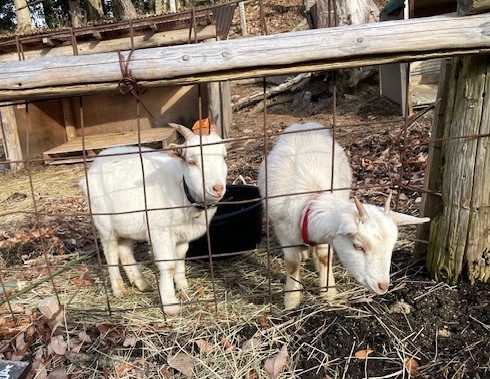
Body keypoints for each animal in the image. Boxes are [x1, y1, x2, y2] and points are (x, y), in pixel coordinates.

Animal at [79, 123, 227, 316]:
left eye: (224, 157)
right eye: (191, 162)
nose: (217, 188)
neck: (181, 189)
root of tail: (91, 169)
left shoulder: (182, 234)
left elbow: (180, 258)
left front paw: (183, 287)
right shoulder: (160, 232)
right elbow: (169, 265)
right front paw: (170, 303)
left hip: (128, 224)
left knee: (124, 250)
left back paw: (141, 283)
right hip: (104, 222)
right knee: (110, 251)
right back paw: (118, 289)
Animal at [258, 123, 430, 310]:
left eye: (392, 246)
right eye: (358, 246)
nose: (383, 286)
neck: (309, 200)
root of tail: (303, 124)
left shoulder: (326, 235)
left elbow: (325, 257)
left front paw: (328, 291)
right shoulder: (283, 231)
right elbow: (292, 263)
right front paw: (292, 299)